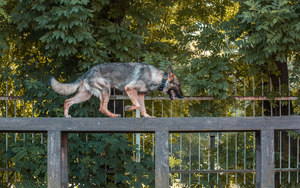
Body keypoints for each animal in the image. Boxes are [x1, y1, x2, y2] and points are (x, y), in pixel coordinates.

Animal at [50, 62, 184, 117]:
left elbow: (143, 108)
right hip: (106, 90)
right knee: (102, 108)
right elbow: (137, 105)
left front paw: (147, 116)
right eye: (179, 85)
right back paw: (114, 115)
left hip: (85, 95)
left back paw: (66, 115)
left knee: (67, 101)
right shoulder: (129, 89)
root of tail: (88, 72)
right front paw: (129, 107)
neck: (159, 78)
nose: (183, 96)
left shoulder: (140, 95)